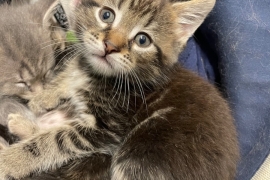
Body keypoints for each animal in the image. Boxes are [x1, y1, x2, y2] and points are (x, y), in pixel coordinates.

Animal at [0, 0, 238, 180]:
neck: (98, 75)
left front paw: (9, 162)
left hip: (142, 155)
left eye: (143, 40)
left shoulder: (107, 127)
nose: (110, 46)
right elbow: (68, 75)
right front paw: (43, 97)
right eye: (106, 15)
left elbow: (55, 141)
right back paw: (22, 124)